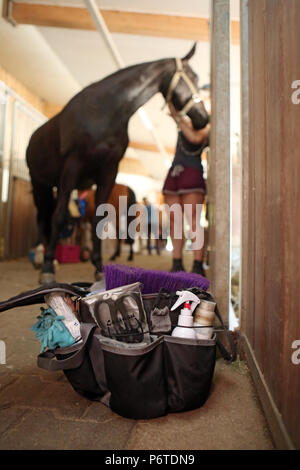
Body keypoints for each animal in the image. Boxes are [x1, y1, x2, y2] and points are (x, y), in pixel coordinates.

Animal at [26, 43, 209, 282]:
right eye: (192, 76)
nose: (203, 118)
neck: (104, 111)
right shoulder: (72, 166)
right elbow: (59, 216)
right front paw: (48, 268)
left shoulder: (109, 172)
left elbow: (97, 219)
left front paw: (98, 266)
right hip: (39, 183)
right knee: (42, 217)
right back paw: (43, 258)